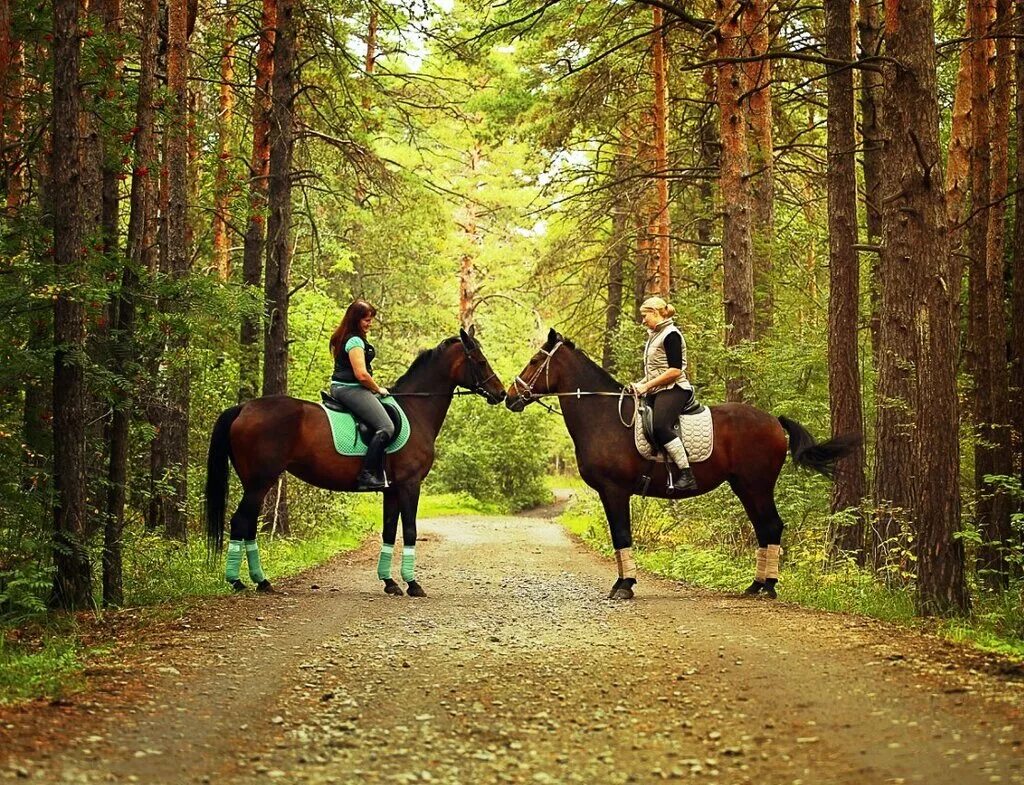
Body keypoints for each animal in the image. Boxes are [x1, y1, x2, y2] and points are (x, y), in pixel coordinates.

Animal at [201, 329, 505, 597]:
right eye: (480, 361)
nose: (501, 393)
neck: (415, 411)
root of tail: (244, 408)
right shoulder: (410, 485)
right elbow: (409, 531)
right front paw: (413, 584)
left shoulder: (392, 489)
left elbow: (388, 532)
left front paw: (390, 583)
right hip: (260, 481)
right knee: (240, 521)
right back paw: (241, 581)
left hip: (255, 483)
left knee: (248, 524)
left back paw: (260, 582)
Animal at [507, 331, 860, 601]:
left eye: (536, 360)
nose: (510, 397)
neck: (603, 417)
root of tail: (774, 420)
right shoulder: (610, 493)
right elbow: (618, 536)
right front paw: (623, 582)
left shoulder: (615, 490)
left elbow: (621, 534)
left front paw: (624, 586)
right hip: (745, 487)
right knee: (765, 528)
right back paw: (756, 585)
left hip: (756, 485)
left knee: (771, 526)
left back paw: (769, 587)